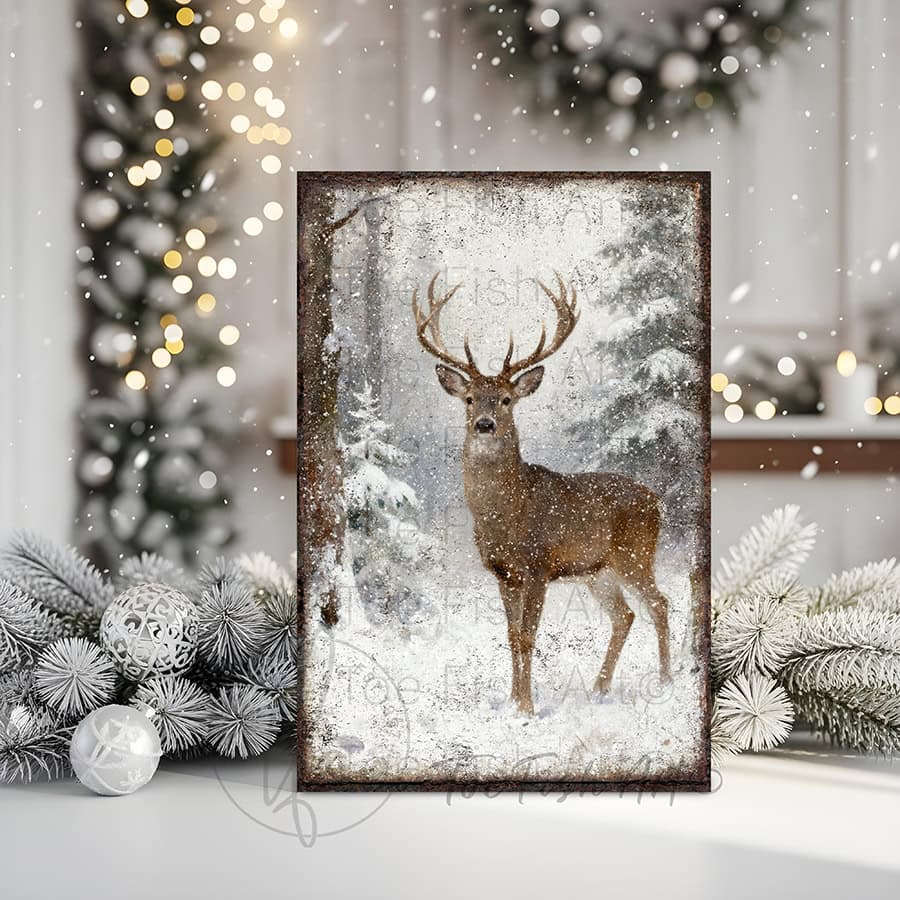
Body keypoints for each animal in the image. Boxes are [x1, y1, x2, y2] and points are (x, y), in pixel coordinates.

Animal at [412, 272, 671, 715]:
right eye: (469, 399)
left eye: (505, 399)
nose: (484, 425)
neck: (505, 514)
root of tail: (656, 500)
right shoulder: (503, 572)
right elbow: (512, 636)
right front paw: (512, 701)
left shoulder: (538, 564)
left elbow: (529, 636)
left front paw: (528, 709)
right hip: (597, 570)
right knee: (624, 615)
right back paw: (599, 688)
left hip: (635, 554)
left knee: (659, 603)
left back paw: (668, 681)